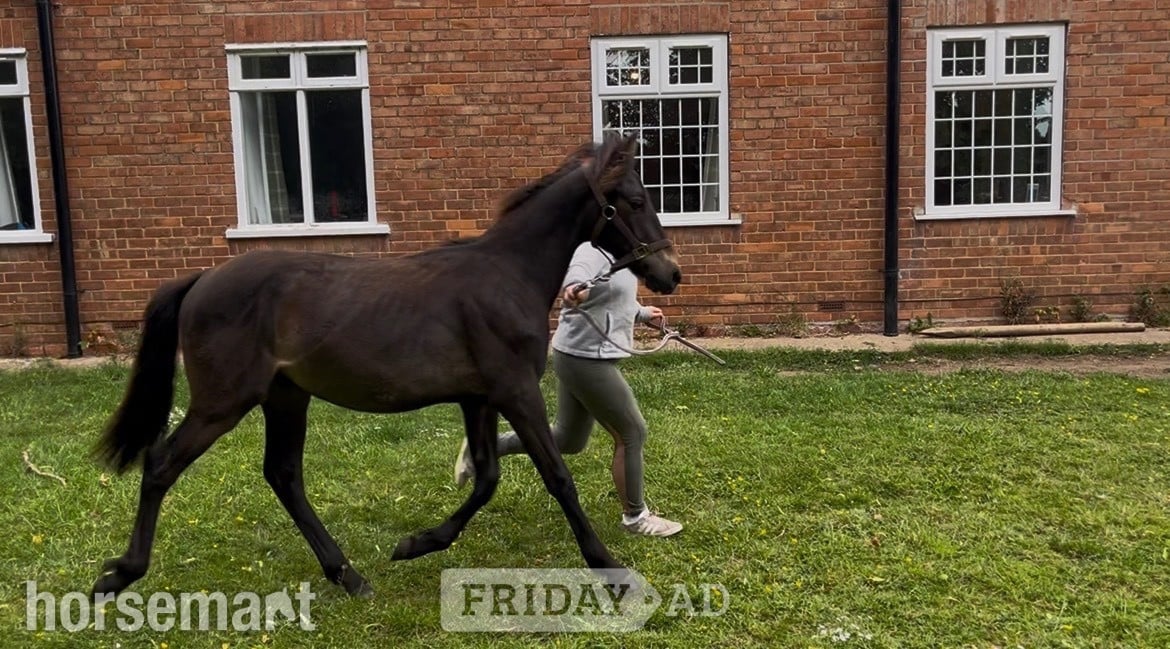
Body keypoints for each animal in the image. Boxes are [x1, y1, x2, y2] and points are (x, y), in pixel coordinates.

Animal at [90, 133, 681, 599]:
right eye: (634, 199)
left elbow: (486, 476)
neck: (508, 275)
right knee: (161, 465)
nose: (670, 273)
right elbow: (557, 476)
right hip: (223, 402)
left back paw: (347, 574)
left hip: (286, 396)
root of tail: (200, 282)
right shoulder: (516, 391)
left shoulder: (479, 397)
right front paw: (610, 569)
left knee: (283, 474)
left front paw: (416, 544)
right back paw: (119, 575)